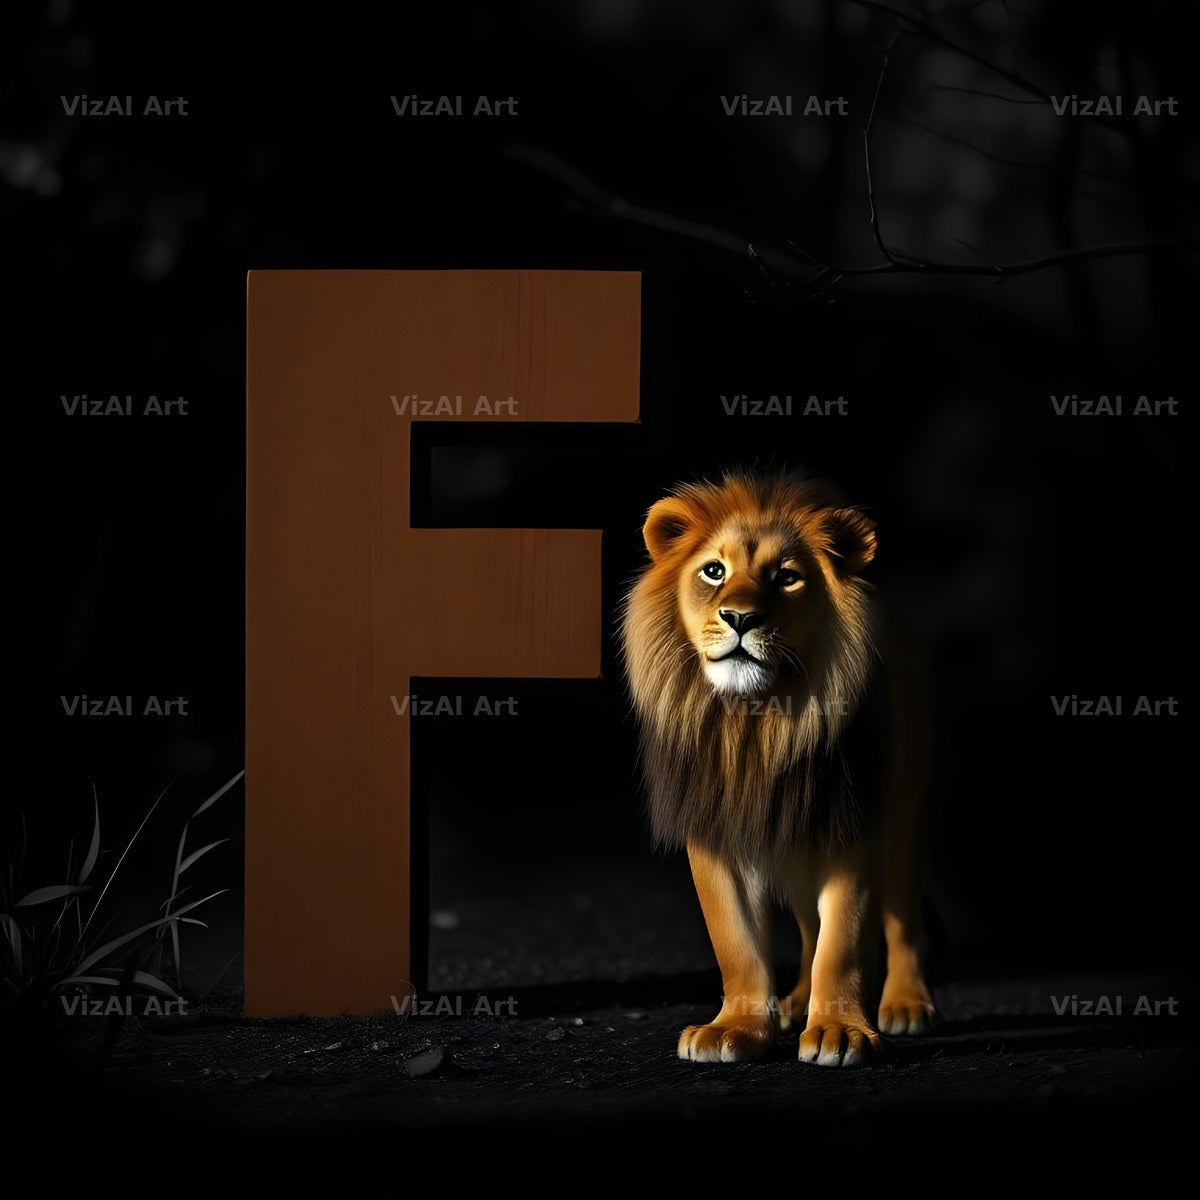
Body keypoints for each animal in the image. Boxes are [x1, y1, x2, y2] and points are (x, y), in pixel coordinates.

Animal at [621, 470, 936, 1066]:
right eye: (714, 571)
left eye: (786, 577)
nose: (741, 618)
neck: (756, 724)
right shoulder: (714, 832)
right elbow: (736, 944)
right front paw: (736, 1029)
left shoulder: (849, 826)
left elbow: (843, 942)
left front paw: (839, 1032)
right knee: (810, 926)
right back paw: (794, 1003)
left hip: (903, 807)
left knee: (901, 912)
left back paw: (905, 1004)